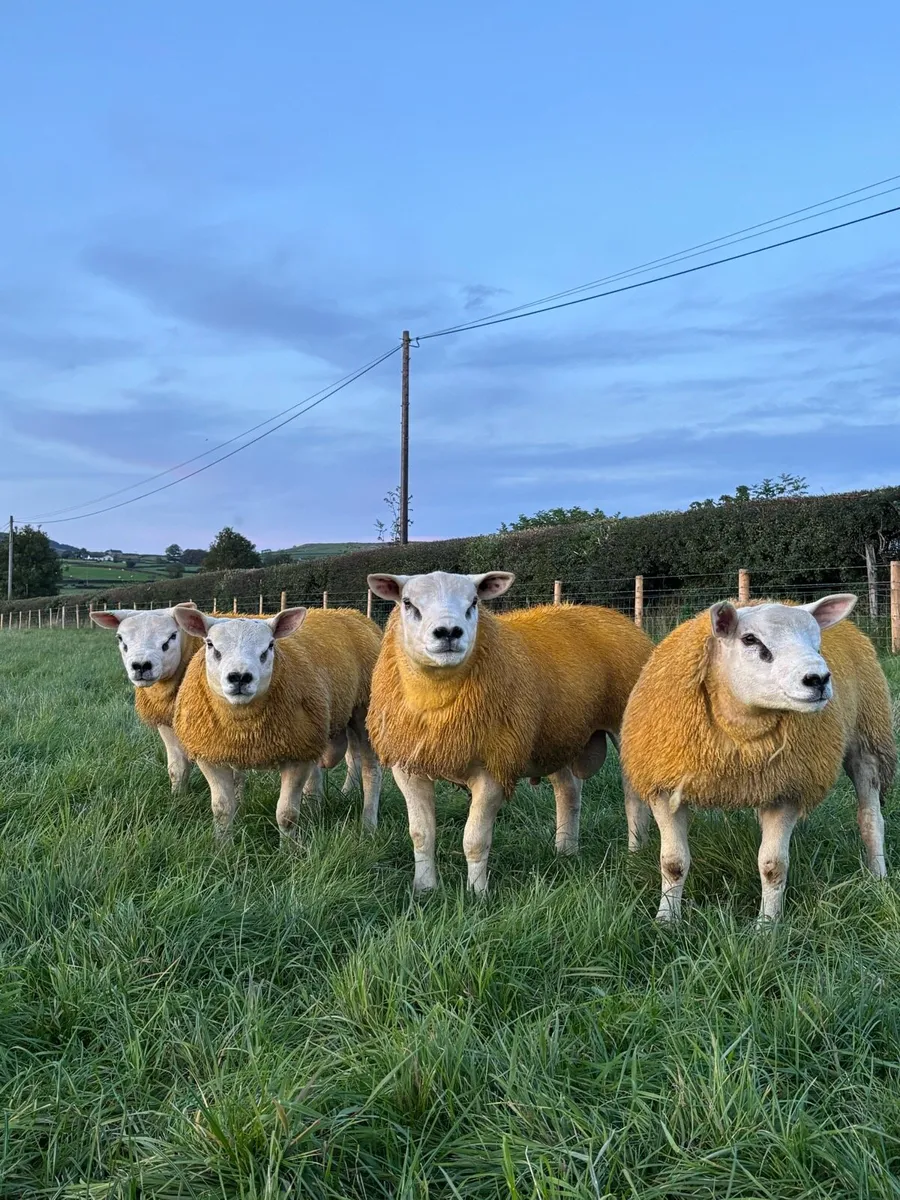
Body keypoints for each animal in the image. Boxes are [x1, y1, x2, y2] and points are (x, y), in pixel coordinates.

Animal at [90, 604, 204, 792]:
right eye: (120, 638)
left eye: (172, 636)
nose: (141, 666)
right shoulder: (165, 720)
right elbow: (177, 767)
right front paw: (178, 797)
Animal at [171, 605, 383, 840]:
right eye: (210, 644)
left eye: (270, 645)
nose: (240, 677)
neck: (245, 728)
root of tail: (351, 612)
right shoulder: (210, 755)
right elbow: (222, 810)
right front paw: (222, 846)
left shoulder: (297, 756)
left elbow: (287, 815)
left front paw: (289, 847)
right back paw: (315, 809)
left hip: (364, 711)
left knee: (371, 771)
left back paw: (368, 826)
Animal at [366, 570, 655, 894]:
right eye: (407, 603)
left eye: (474, 602)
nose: (449, 632)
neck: (437, 700)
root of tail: (611, 614)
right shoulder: (408, 768)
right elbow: (420, 833)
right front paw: (425, 889)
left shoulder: (494, 767)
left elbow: (475, 840)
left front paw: (477, 894)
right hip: (556, 735)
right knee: (568, 790)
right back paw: (565, 851)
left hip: (625, 728)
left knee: (633, 800)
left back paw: (634, 856)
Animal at [619, 594, 896, 922]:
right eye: (750, 639)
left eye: (817, 641)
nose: (818, 679)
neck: (739, 734)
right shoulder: (665, 786)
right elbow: (673, 863)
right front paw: (666, 920)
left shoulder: (787, 790)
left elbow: (773, 866)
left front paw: (767, 924)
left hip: (868, 741)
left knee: (870, 819)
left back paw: (878, 878)